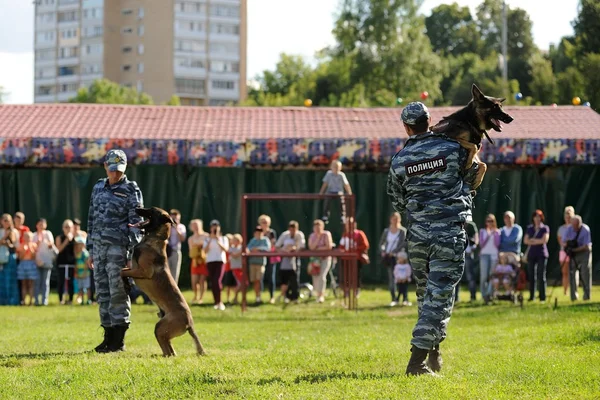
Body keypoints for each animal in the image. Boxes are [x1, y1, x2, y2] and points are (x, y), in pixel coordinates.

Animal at [120, 206, 205, 356]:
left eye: (151, 210)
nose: (137, 207)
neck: (153, 239)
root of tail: (190, 324)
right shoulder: (134, 268)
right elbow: (124, 269)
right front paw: (126, 284)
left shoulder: (143, 271)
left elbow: (122, 271)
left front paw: (126, 284)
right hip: (163, 330)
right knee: (170, 351)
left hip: (160, 327)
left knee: (169, 351)